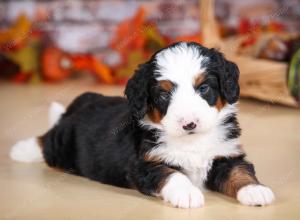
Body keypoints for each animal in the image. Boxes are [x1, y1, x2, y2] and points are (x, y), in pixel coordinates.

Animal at [11, 41, 274, 208]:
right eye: (164, 95)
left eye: (204, 88)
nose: (189, 124)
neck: (191, 142)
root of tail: (85, 101)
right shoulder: (144, 164)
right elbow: (171, 173)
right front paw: (188, 193)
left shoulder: (226, 155)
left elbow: (239, 171)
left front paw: (254, 190)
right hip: (64, 143)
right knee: (47, 140)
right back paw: (22, 150)